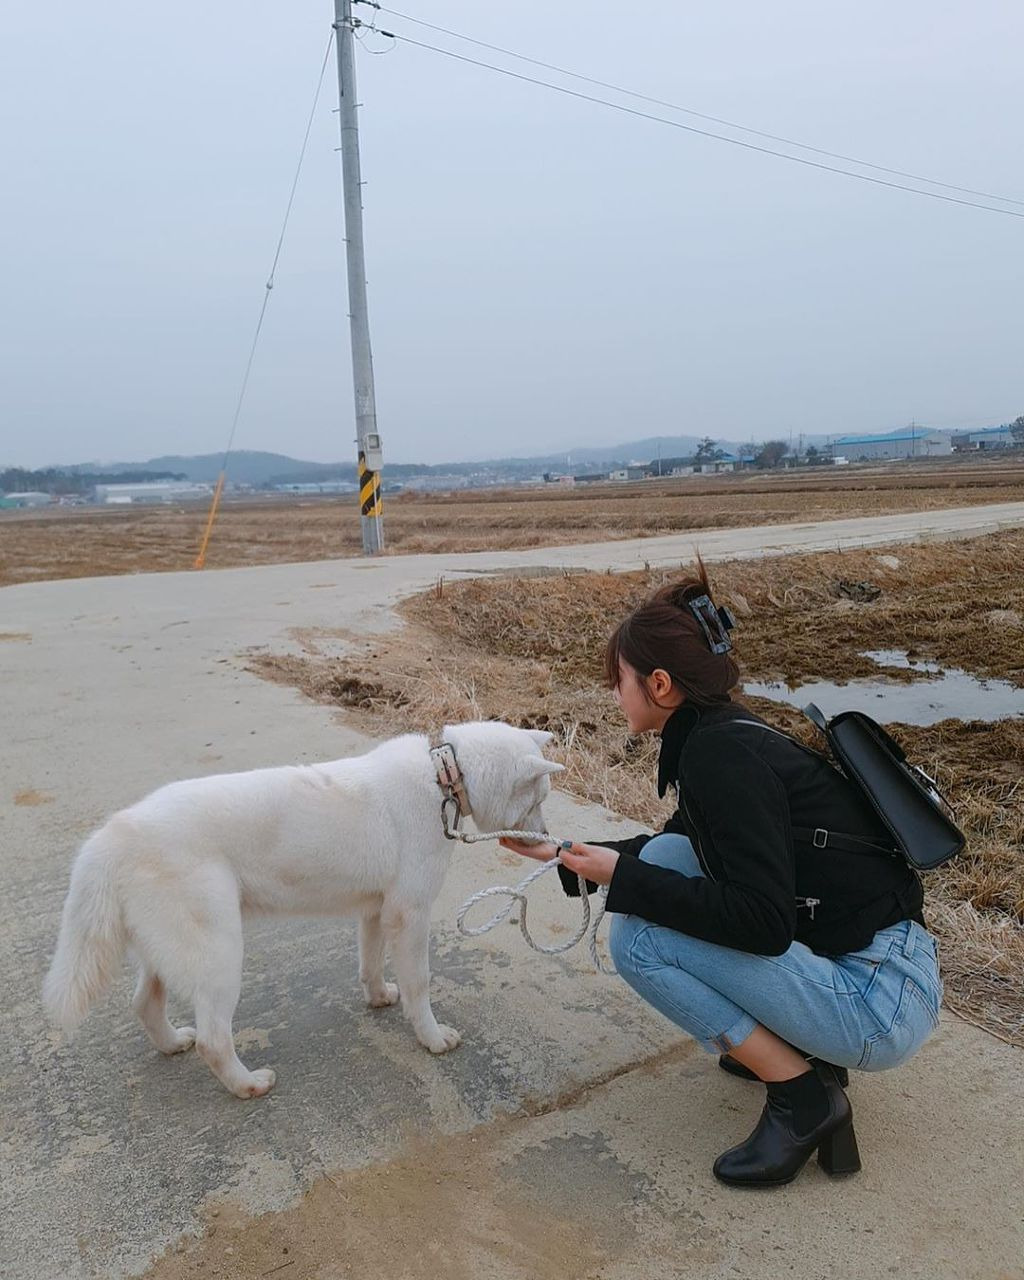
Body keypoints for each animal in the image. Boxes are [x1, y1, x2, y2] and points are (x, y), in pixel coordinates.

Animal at [41, 721, 560, 1100]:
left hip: (171, 947)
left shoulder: (376, 912)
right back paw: (247, 1085)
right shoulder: (409, 916)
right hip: (219, 953)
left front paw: (378, 997)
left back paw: (172, 1044)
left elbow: (371, 964)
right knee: (213, 1038)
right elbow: (420, 986)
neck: (443, 777)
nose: (550, 841)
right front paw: (431, 1038)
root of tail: (111, 834)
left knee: (146, 1004)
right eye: (538, 799)